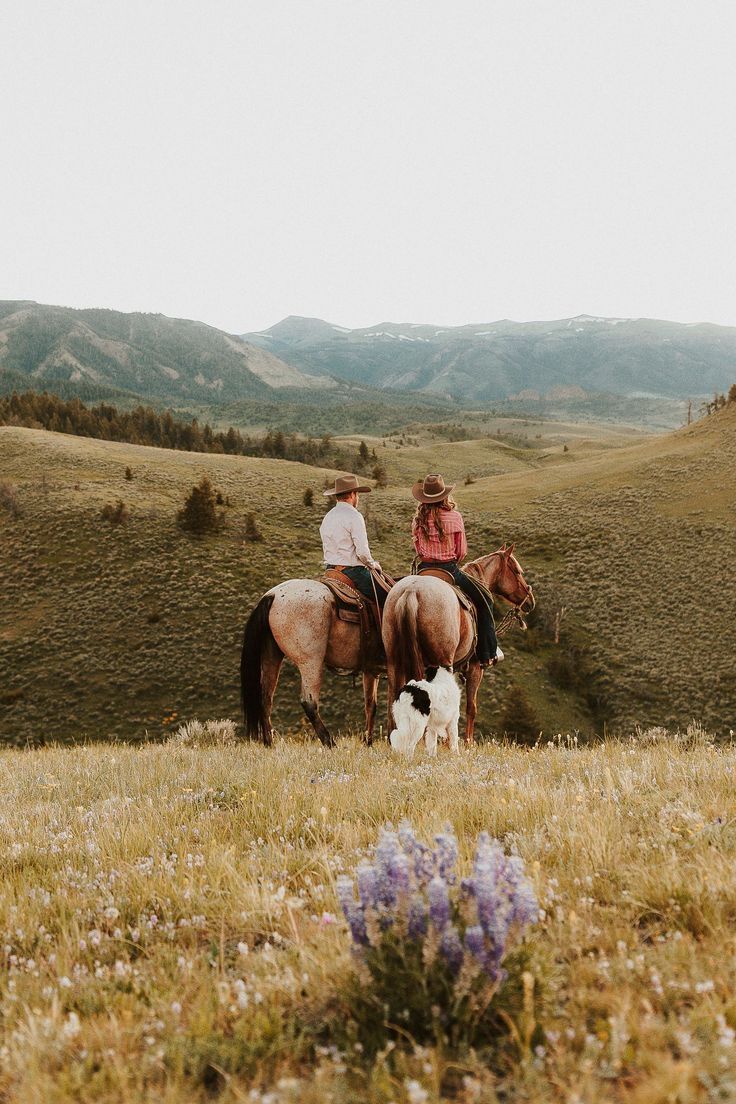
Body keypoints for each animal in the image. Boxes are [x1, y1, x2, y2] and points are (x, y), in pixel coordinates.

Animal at [240, 578, 384, 750]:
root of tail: (272, 595)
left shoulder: (371, 670)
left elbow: (371, 705)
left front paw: (368, 743)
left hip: (271, 655)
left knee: (265, 699)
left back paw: (269, 744)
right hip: (311, 662)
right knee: (309, 702)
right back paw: (330, 743)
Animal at [379, 545, 536, 746]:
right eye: (517, 571)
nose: (530, 601)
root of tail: (411, 592)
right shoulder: (475, 668)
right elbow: (471, 707)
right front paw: (467, 742)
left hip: (394, 661)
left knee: (394, 696)